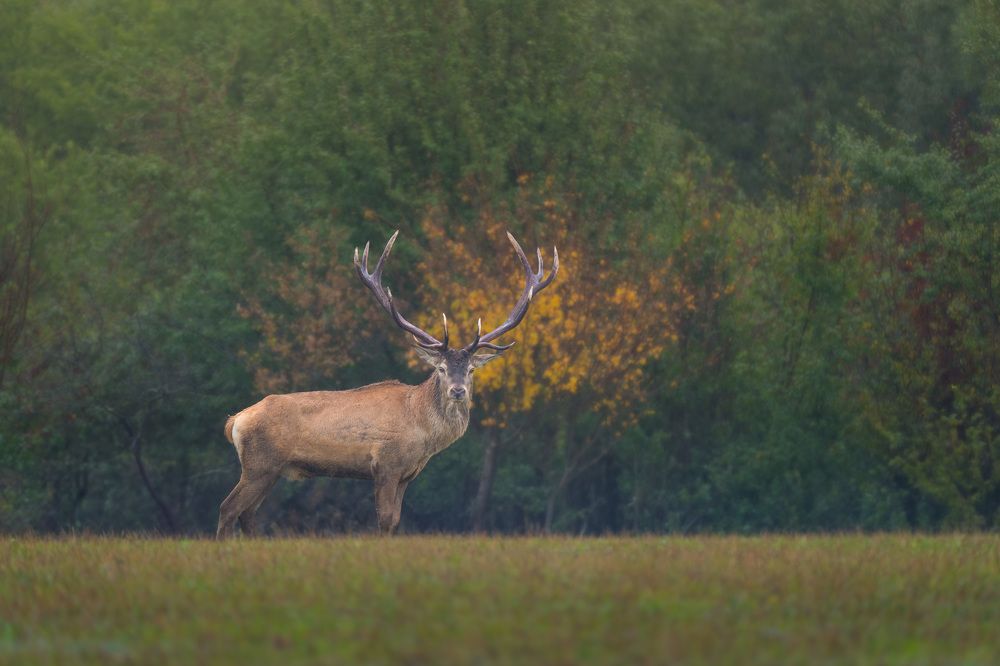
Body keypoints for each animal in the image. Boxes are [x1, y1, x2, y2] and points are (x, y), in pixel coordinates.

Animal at [217, 230, 558, 537]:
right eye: (441, 368)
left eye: (472, 370)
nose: (458, 391)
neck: (422, 433)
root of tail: (235, 420)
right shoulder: (385, 464)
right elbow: (383, 520)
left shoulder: (407, 475)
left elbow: (394, 522)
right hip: (259, 464)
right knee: (228, 508)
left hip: (271, 470)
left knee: (247, 514)